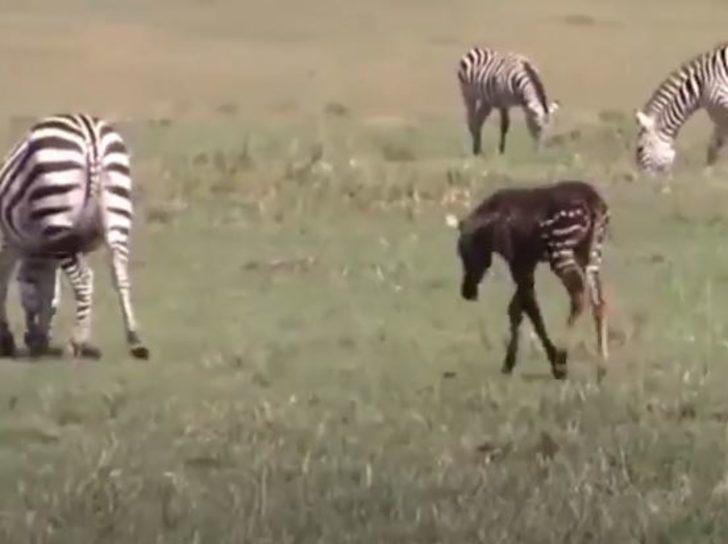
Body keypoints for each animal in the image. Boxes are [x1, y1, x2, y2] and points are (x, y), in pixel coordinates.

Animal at [0, 113, 149, 359]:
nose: (30, 339)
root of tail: (91, 136)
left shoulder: (11, 246)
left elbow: (16, 289)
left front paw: (10, 339)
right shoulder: (43, 252)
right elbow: (48, 291)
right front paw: (40, 338)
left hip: (58, 218)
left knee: (84, 281)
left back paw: (77, 341)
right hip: (115, 213)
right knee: (121, 277)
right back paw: (134, 339)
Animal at [456, 180, 609, 380]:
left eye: (464, 253)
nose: (467, 292)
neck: (493, 222)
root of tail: (593, 202)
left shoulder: (519, 263)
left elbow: (531, 311)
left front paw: (552, 360)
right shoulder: (528, 264)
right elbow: (517, 309)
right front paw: (509, 363)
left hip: (561, 252)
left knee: (578, 297)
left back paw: (562, 359)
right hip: (590, 256)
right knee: (599, 303)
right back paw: (601, 366)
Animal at [636, 42, 728, 173]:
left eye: (640, 149)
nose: (642, 177)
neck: (701, 87)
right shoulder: (720, 116)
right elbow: (713, 148)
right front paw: (707, 175)